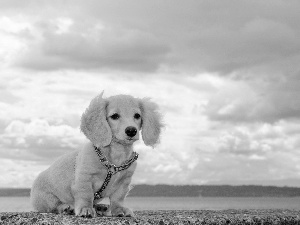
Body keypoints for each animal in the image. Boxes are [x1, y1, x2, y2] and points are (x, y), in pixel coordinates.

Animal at [29, 92, 164, 217]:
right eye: (114, 116)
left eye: (137, 116)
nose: (131, 131)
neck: (113, 159)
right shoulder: (84, 178)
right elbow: (86, 195)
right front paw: (85, 209)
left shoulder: (124, 182)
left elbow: (118, 198)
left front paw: (118, 210)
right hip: (46, 198)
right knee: (53, 207)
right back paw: (66, 208)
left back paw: (101, 207)